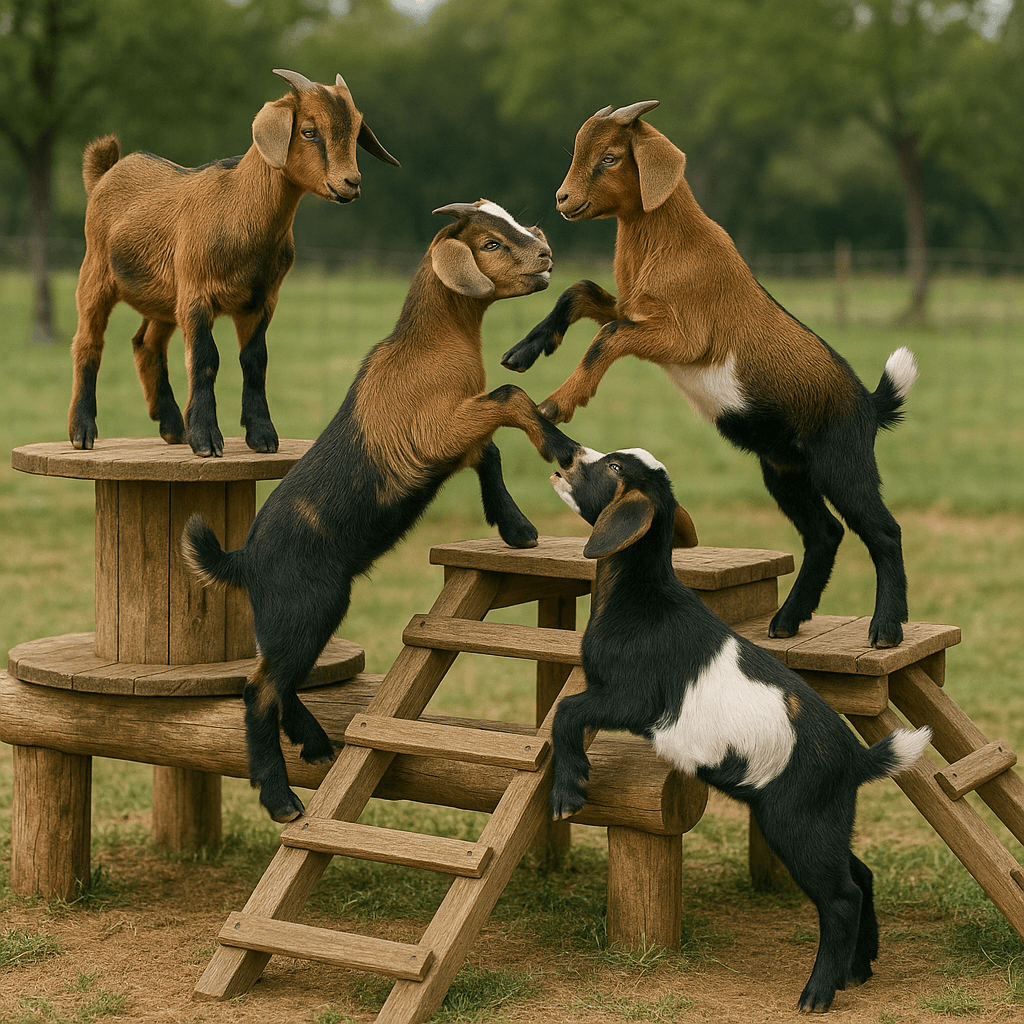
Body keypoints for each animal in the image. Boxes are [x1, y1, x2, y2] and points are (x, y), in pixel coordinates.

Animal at [68, 68, 399, 458]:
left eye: (357, 130)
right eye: (309, 131)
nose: (351, 183)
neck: (237, 206)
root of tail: (105, 174)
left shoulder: (260, 300)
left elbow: (255, 360)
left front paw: (263, 436)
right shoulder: (196, 294)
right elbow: (205, 358)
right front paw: (206, 440)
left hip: (164, 299)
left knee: (147, 343)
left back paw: (172, 426)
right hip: (96, 272)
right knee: (88, 342)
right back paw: (83, 431)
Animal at [182, 199, 580, 822]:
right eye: (490, 243)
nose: (545, 255)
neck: (430, 347)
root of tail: (241, 560)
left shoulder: (457, 434)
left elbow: (489, 450)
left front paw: (517, 529)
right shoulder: (437, 430)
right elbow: (510, 398)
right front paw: (560, 448)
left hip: (294, 617)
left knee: (276, 679)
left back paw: (315, 745)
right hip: (306, 606)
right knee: (259, 690)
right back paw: (281, 798)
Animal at [502, 101, 917, 648]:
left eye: (610, 157)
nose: (562, 200)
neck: (672, 244)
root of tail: (869, 402)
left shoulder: (681, 337)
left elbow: (608, 335)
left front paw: (557, 402)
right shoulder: (636, 309)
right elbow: (580, 292)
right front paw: (523, 351)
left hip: (841, 461)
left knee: (883, 531)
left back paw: (885, 629)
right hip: (784, 469)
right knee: (824, 533)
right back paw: (786, 621)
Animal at [547, 445, 931, 1013]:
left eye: (614, 468)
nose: (569, 454)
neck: (640, 597)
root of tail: (857, 759)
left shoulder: (632, 699)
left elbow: (567, 712)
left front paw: (568, 793)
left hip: (797, 821)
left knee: (841, 897)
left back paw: (817, 993)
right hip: (828, 817)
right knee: (860, 877)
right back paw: (858, 969)